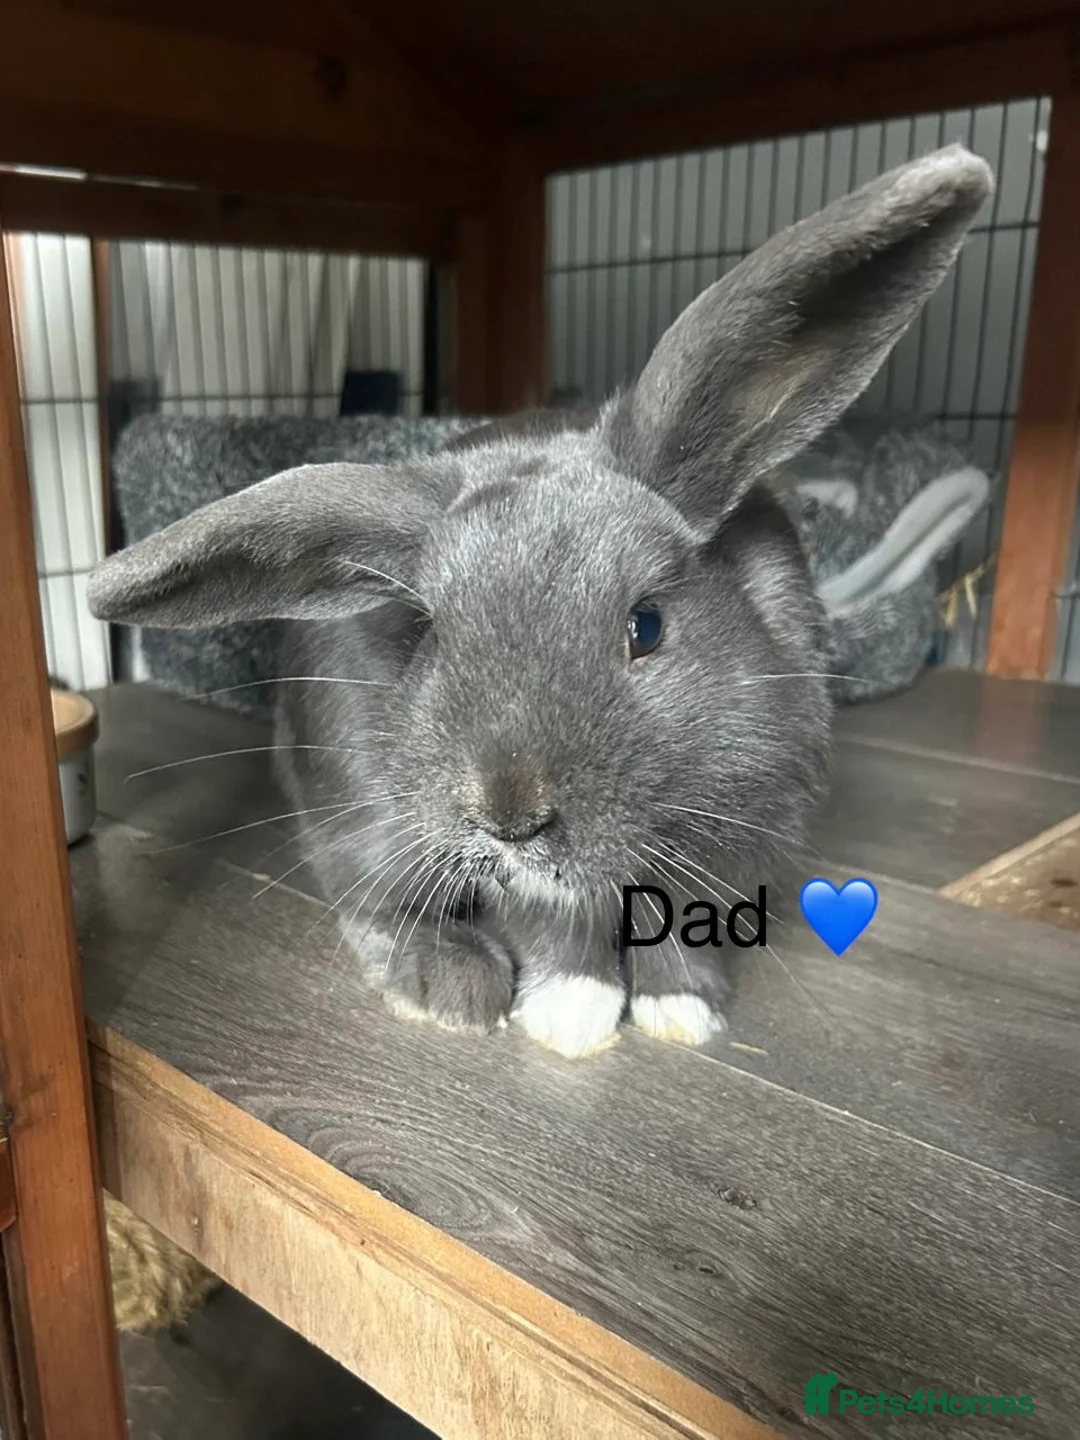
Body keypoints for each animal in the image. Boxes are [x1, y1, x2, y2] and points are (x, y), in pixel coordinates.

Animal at [88, 146, 992, 1059]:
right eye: (430, 634)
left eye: (646, 626)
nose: (509, 817)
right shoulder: (519, 880)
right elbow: (555, 925)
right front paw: (571, 1020)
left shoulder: (735, 834)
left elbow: (683, 929)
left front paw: (683, 1015)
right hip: (364, 810)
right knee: (367, 898)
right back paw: (450, 986)